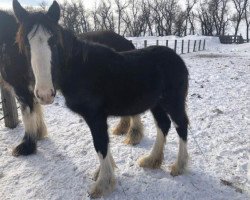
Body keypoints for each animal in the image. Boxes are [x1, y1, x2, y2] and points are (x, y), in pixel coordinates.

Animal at [0, 10, 144, 156]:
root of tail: (126, 41)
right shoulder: (35, 88)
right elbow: (36, 109)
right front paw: (39, 133)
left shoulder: (21, 88)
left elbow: (27, 114)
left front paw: (27, 145)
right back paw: (122, 128)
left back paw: (134, 135)